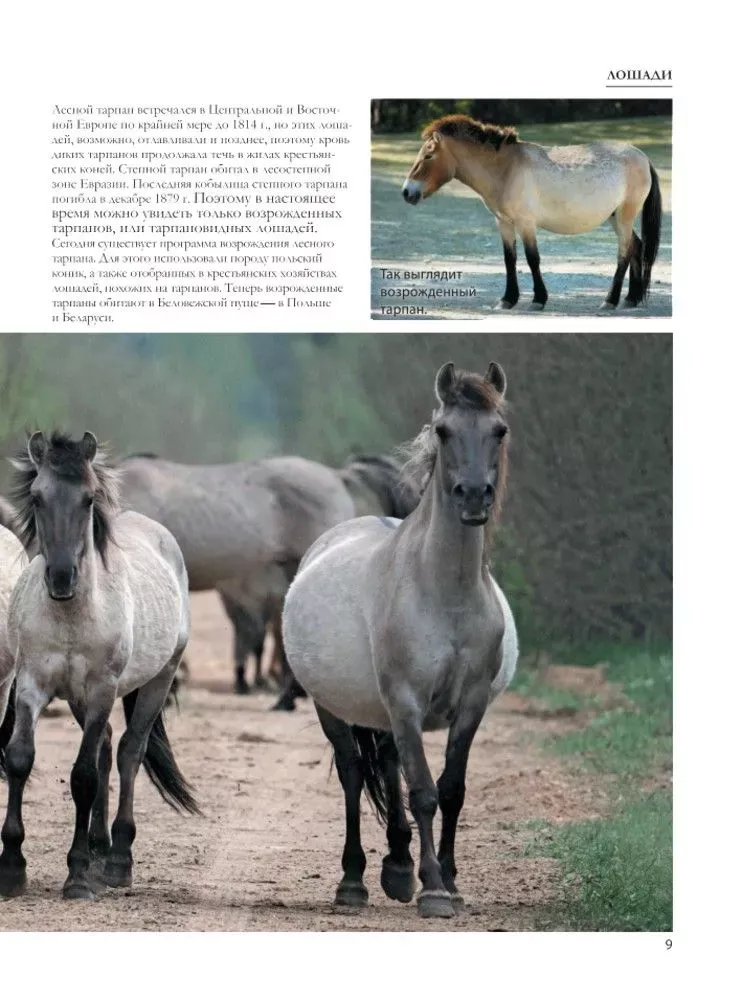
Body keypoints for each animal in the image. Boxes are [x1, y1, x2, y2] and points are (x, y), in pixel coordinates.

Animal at [0, 432, 199, 901]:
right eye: (37, 496)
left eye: (89, 499)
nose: (61, 578)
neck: (71, 616)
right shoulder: (31, 687)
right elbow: (19, 759)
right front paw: (12, 868)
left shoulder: (100, 692)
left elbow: (84, 776)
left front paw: (76, 876)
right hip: (78, 700)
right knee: (108, 745)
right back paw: (98, 846)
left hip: (157, 680)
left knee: (128, 752)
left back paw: (117, 859)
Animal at [282, 363, 518, 920]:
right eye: (444, 431)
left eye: (499, 430)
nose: (473, 496)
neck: (445, 592)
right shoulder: (407, 702)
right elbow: (424, 792)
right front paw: (433, 889)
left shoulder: (471, 703)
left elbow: (451, 790)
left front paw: (449, 881)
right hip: (333, 708)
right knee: (353, 775)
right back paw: (354, 881)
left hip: (382, 712)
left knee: (388, 766)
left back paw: (397, 867)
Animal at [401, 114, 662, 312]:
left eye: (428, 155)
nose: (407, 192)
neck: (506, 169)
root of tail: (643, 157)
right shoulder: (504, 223)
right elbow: (510, 259)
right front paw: (507, 299)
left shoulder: (526, 223)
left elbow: (532, 258)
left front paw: (538, 299)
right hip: (615, 217)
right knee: (636, 246)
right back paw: (630, 299)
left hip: (625, 217)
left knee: (624, 253)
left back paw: (610, 301)